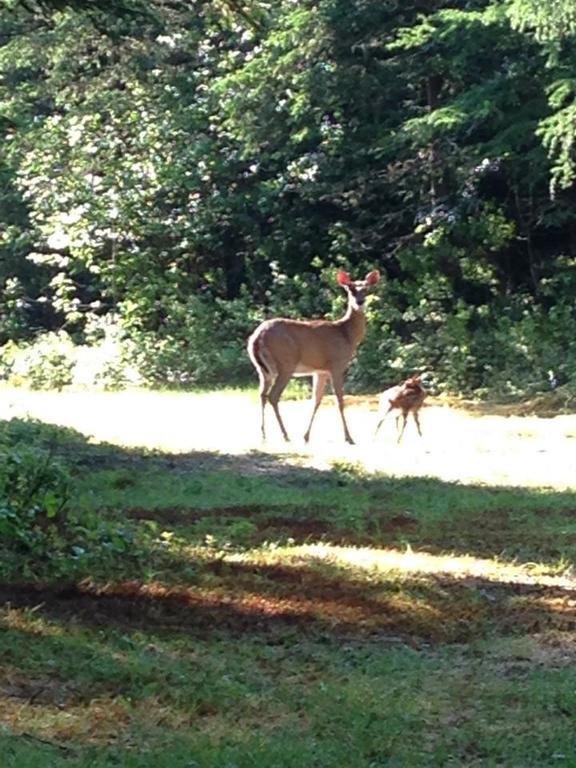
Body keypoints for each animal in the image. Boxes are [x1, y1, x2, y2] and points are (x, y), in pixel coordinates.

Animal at [246, 272, 378, 444]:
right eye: (351, 289)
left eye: (367, 289)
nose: (360, 302)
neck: (346, 334)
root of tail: (256, 337)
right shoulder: (337, 365)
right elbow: (339, 401)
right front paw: (349, 437)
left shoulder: (320, 371)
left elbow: (316, 400)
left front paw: (306, 436)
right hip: (286, 362)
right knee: (273, 396)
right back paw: (285, 435)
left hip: (263, 369)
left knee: (261, 394)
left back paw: (263, 434)